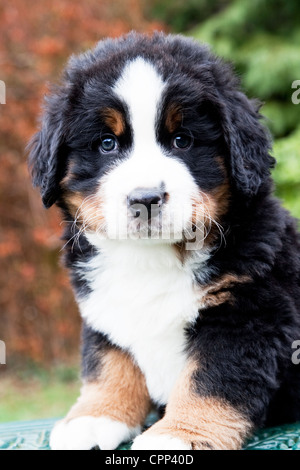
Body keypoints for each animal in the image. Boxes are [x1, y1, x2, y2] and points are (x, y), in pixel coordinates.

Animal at [28, 31, 300, 450]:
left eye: (182, 140)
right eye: (107, 143)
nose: (146, 199)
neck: (152, 257)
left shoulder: (248, 314)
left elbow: (209, 382)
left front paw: (179, 435)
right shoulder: (102, 307)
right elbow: (108, 363)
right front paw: (94, 417)